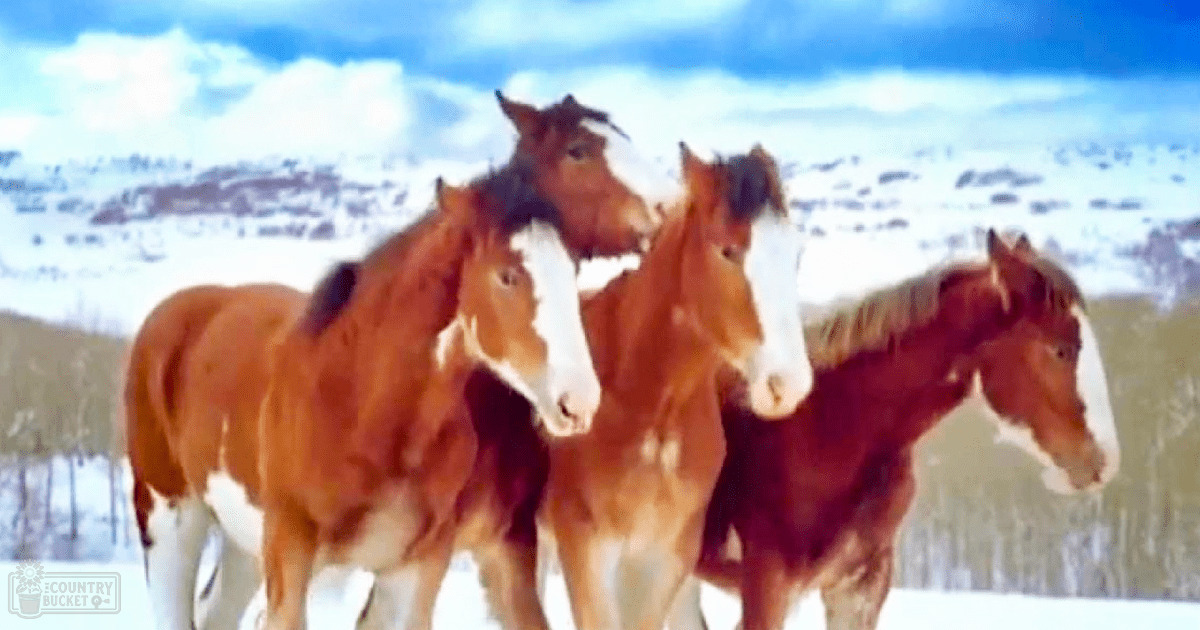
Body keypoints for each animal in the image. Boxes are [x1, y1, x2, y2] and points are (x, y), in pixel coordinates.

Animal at [130, 90, 678, 630]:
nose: (577, 400)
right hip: (171, 521)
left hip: (241, 543)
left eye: (571, 271)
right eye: (579, 150)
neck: (366, 403)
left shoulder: (437, 562)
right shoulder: (291, 555)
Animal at [540, 143, 815, 630]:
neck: (649, 402)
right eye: (727, 251)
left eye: (795, 254)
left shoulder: (663, 559)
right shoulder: (586, 551)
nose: (789, 383)